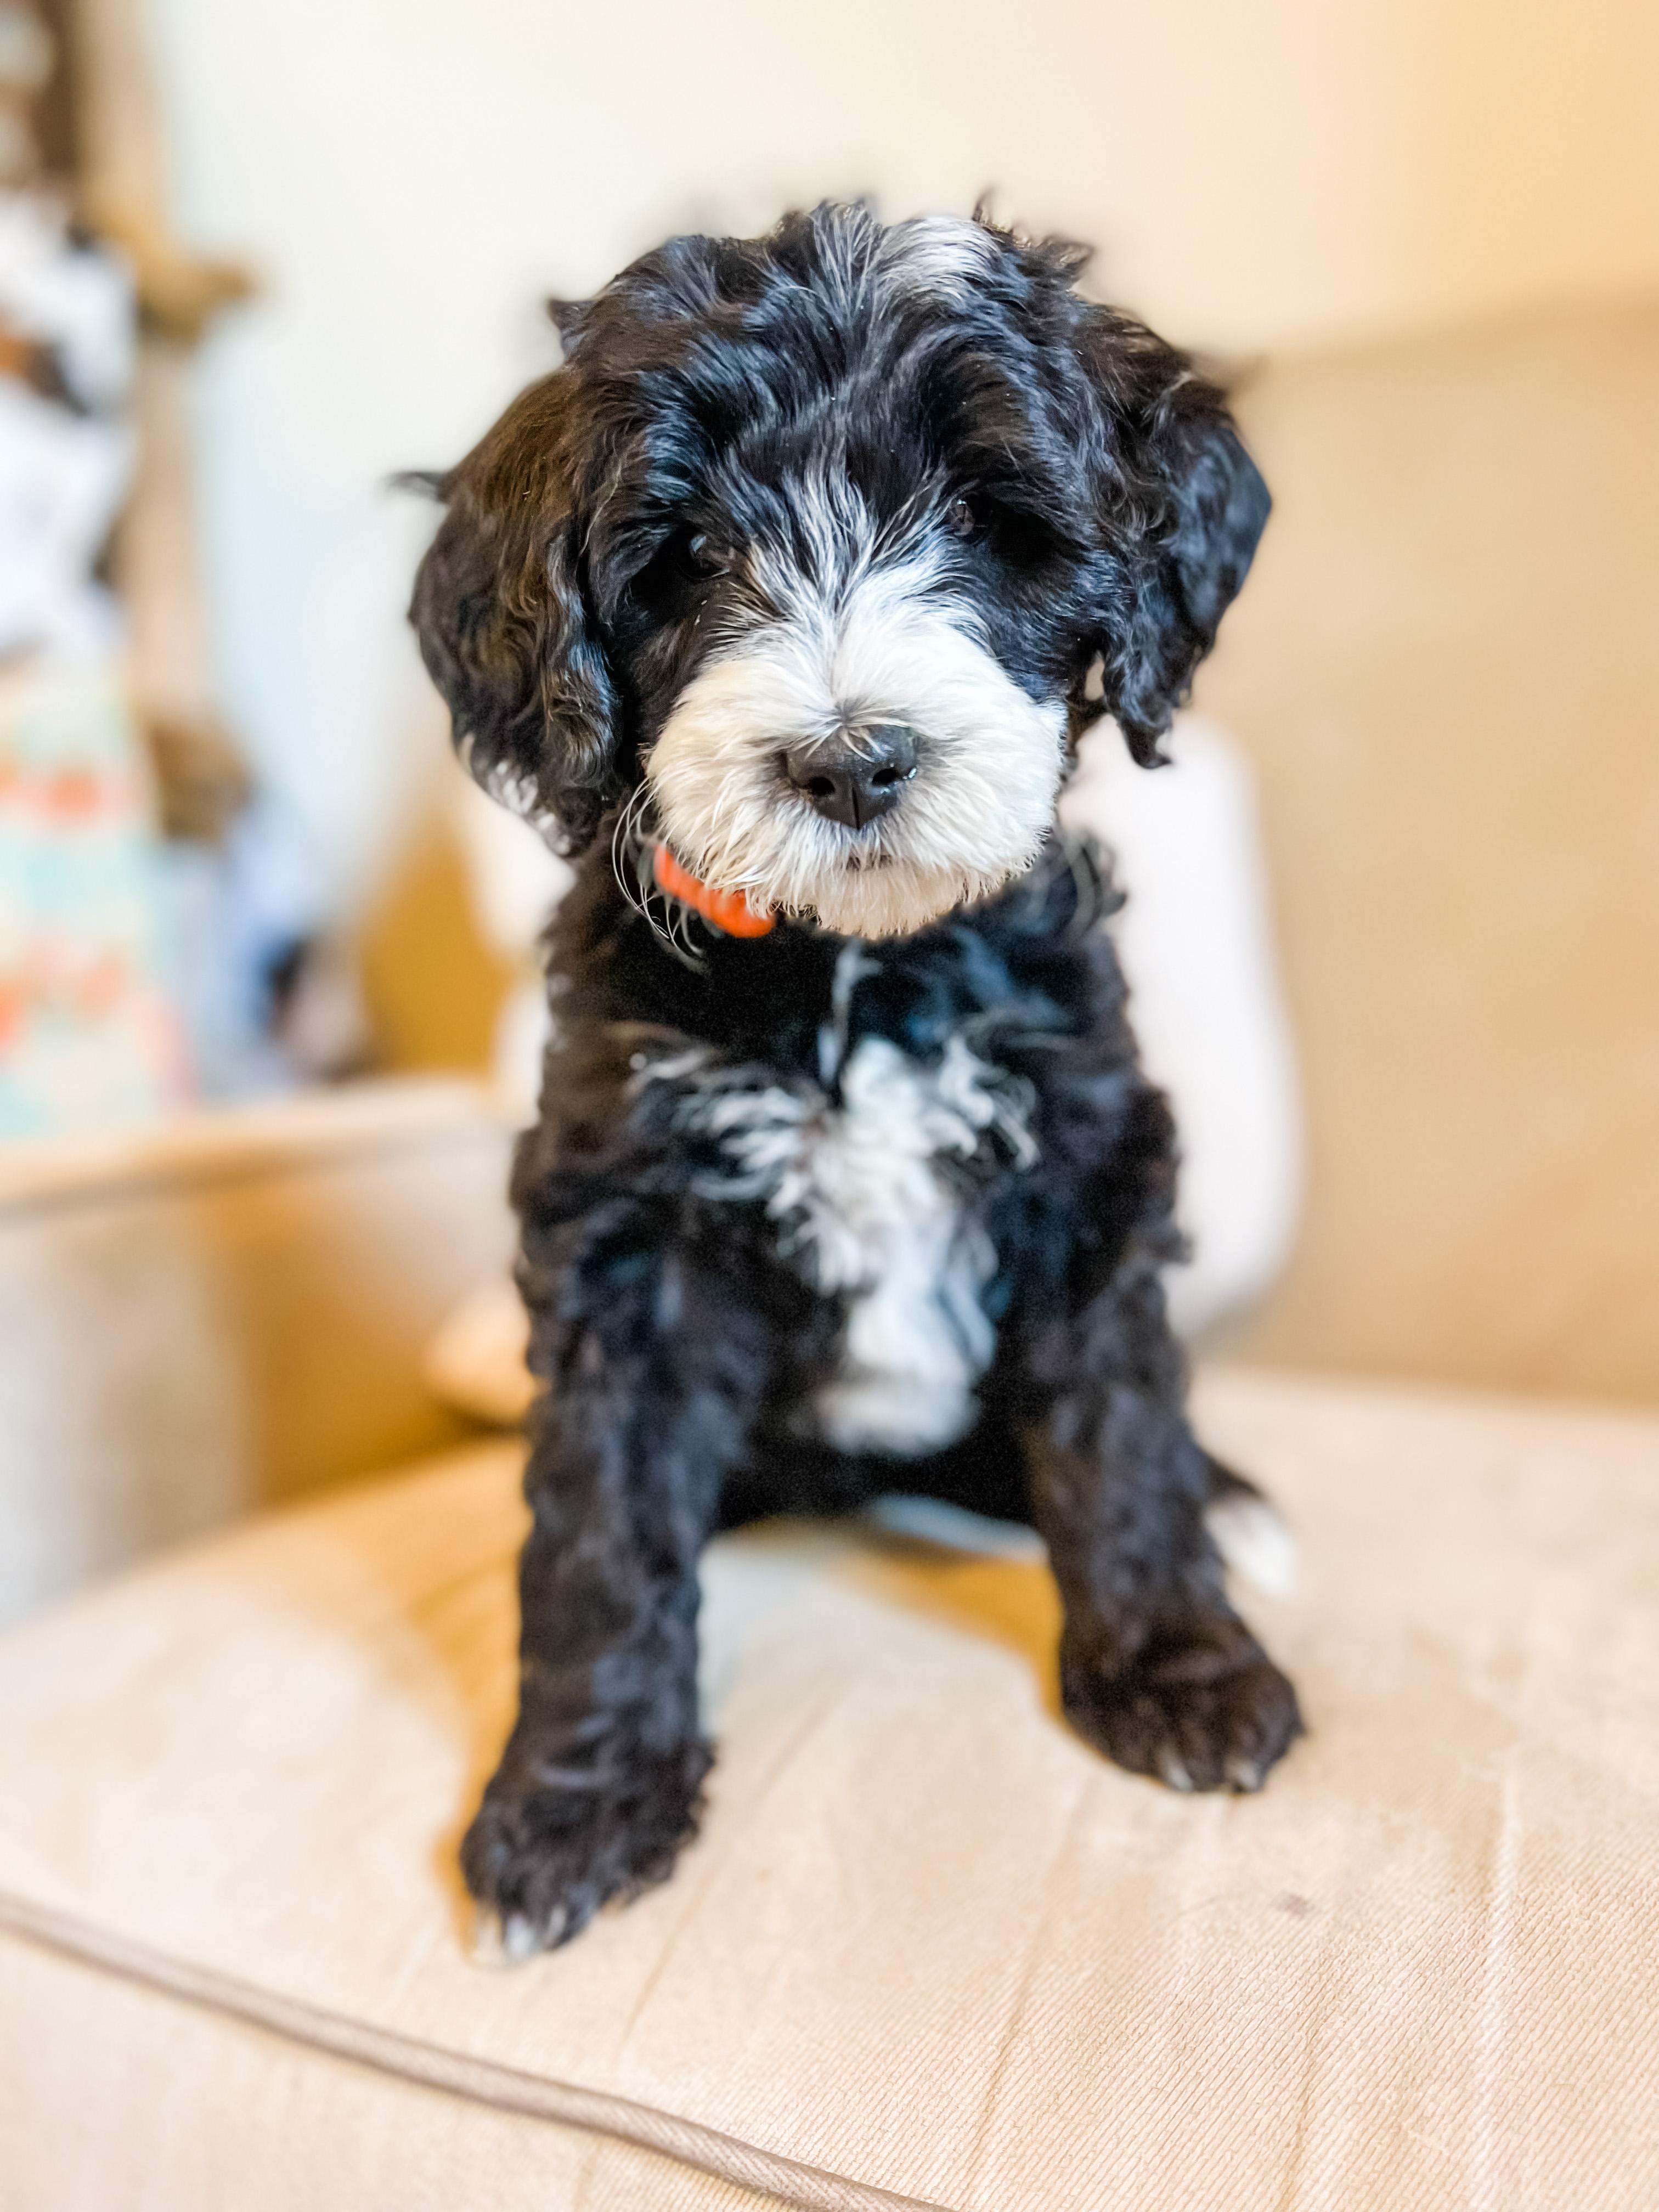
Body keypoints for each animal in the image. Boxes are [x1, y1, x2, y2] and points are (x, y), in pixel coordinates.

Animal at [409, 201, 1302, 1957]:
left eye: (982, 519)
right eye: (687, 556)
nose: (850, 760)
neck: (853, 964)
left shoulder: (1080, 1163)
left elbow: (1117, 1430)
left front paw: (1179, 1666)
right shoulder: (630, 1233)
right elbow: (600, 1524)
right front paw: (577, 1798)